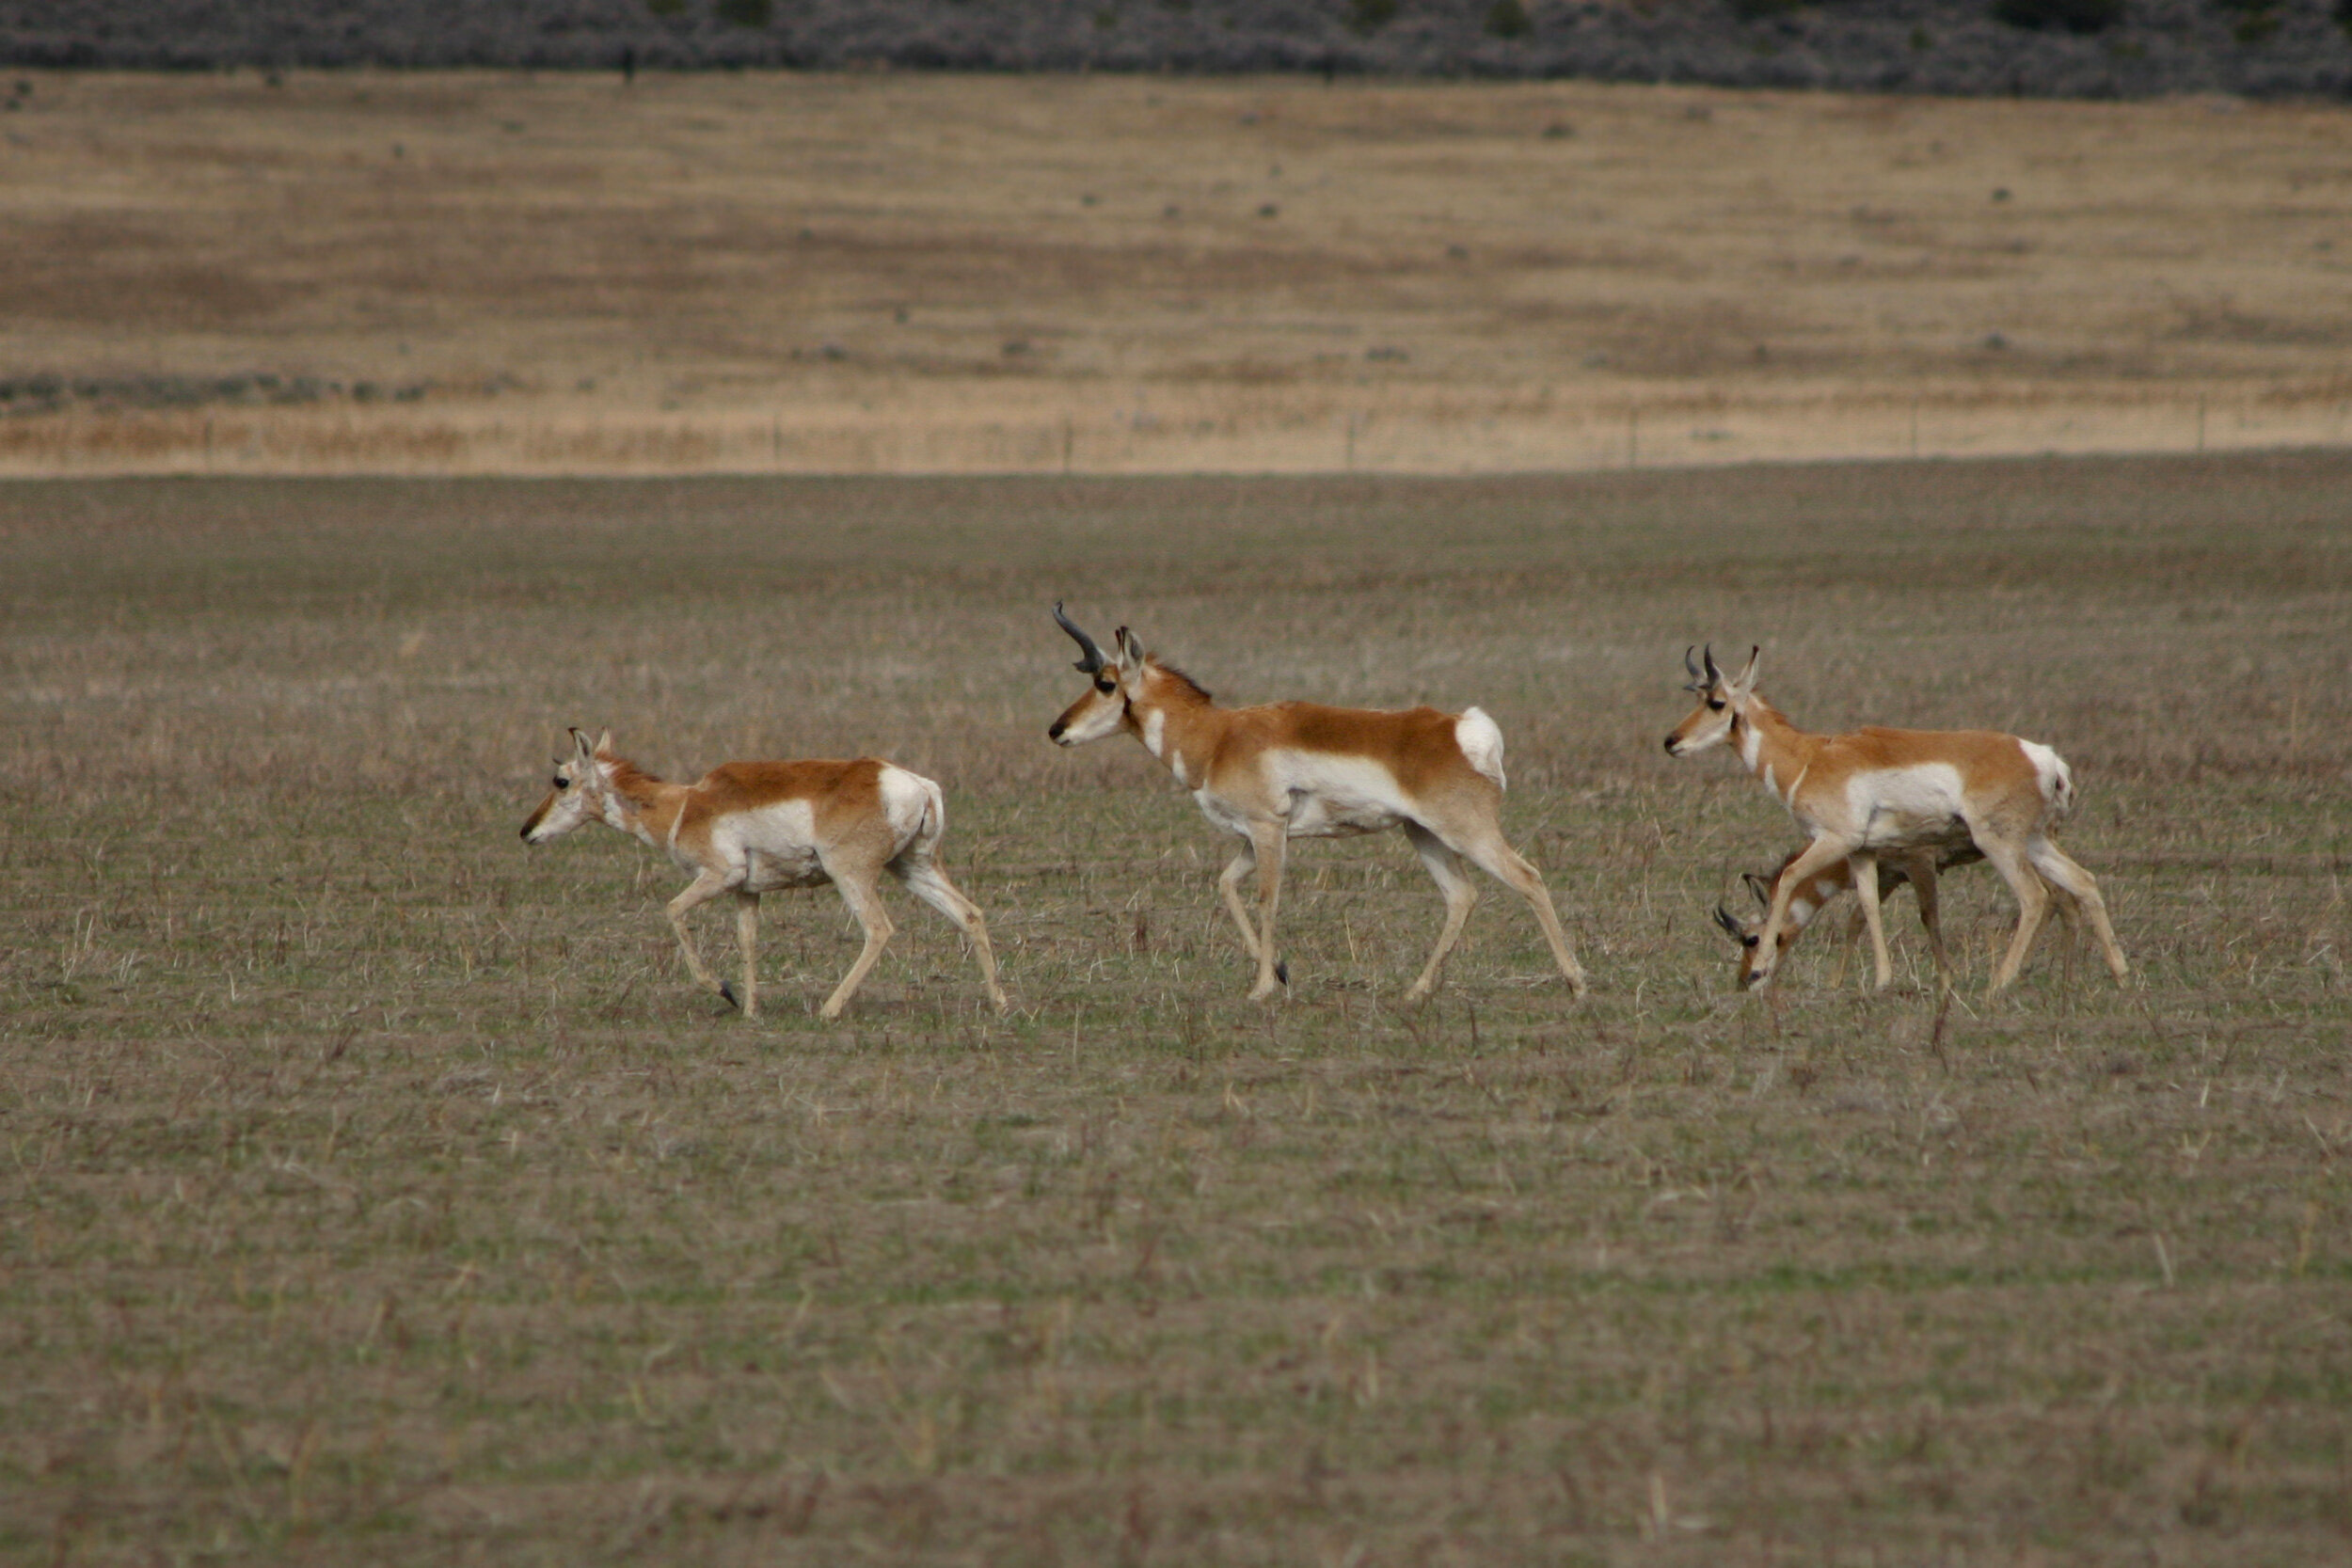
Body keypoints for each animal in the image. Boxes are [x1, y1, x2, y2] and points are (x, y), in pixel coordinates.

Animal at [519, 728, 1007, 1024]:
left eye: (561, 780)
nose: (526, 831)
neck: (686, 805)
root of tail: (914, 784)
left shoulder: (717, 877)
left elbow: (672, 911)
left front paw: (724, 991)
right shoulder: (746, 892)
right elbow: (748, 940)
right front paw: (751, 1009)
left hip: (852, 875)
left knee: (879, 929)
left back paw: (829, 1009)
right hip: (913, 868)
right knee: (970, 914)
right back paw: (999, 1003)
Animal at [1044, 606, 1581, 1001]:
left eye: (1106, 683)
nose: (1056, 730)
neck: (1218, 737)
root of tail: (1457, 728)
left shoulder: (1267, 831)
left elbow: (1267, 898)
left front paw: (1261, 988)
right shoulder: (1254, 837)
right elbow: (1225, 886)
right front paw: (1279, 971)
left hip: (1466, 832)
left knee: (1528, 878)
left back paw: (1575, 982)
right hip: (1424, 835)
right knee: (1461, 896)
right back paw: (1417, 991)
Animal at [1656, 648, 2136, 991]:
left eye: (1717, 702)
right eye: (1697, 698)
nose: (1670, 741)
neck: (1811, 758)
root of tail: (2044, 757)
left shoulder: (1837, 842)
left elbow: (1791, 880)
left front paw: (1763, 970)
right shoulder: (1864, 854)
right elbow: (1866, 907)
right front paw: (1882, 981)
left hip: (2000, 844)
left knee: (2036, 898)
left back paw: (1999, 984)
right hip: (2035, 843)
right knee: (2083, 883)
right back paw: (2119, 976)